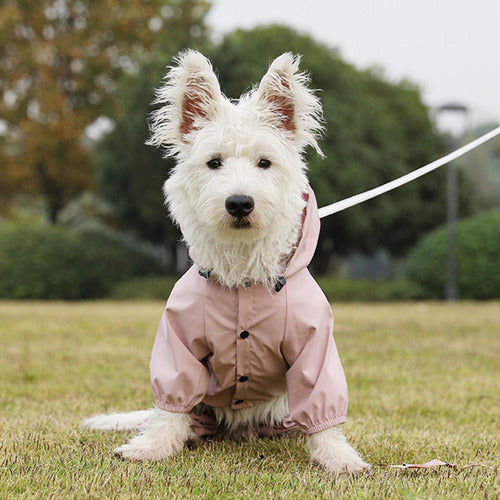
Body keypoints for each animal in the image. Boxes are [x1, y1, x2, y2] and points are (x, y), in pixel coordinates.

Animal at [84, 50, 370, 476]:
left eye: (264, 163)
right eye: (214, 162)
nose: (239, 203)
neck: (242, 275)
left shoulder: (314, 342)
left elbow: (323, 403)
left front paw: (338, 456)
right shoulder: (179, 341)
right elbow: (171, 403)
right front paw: (151, 447)